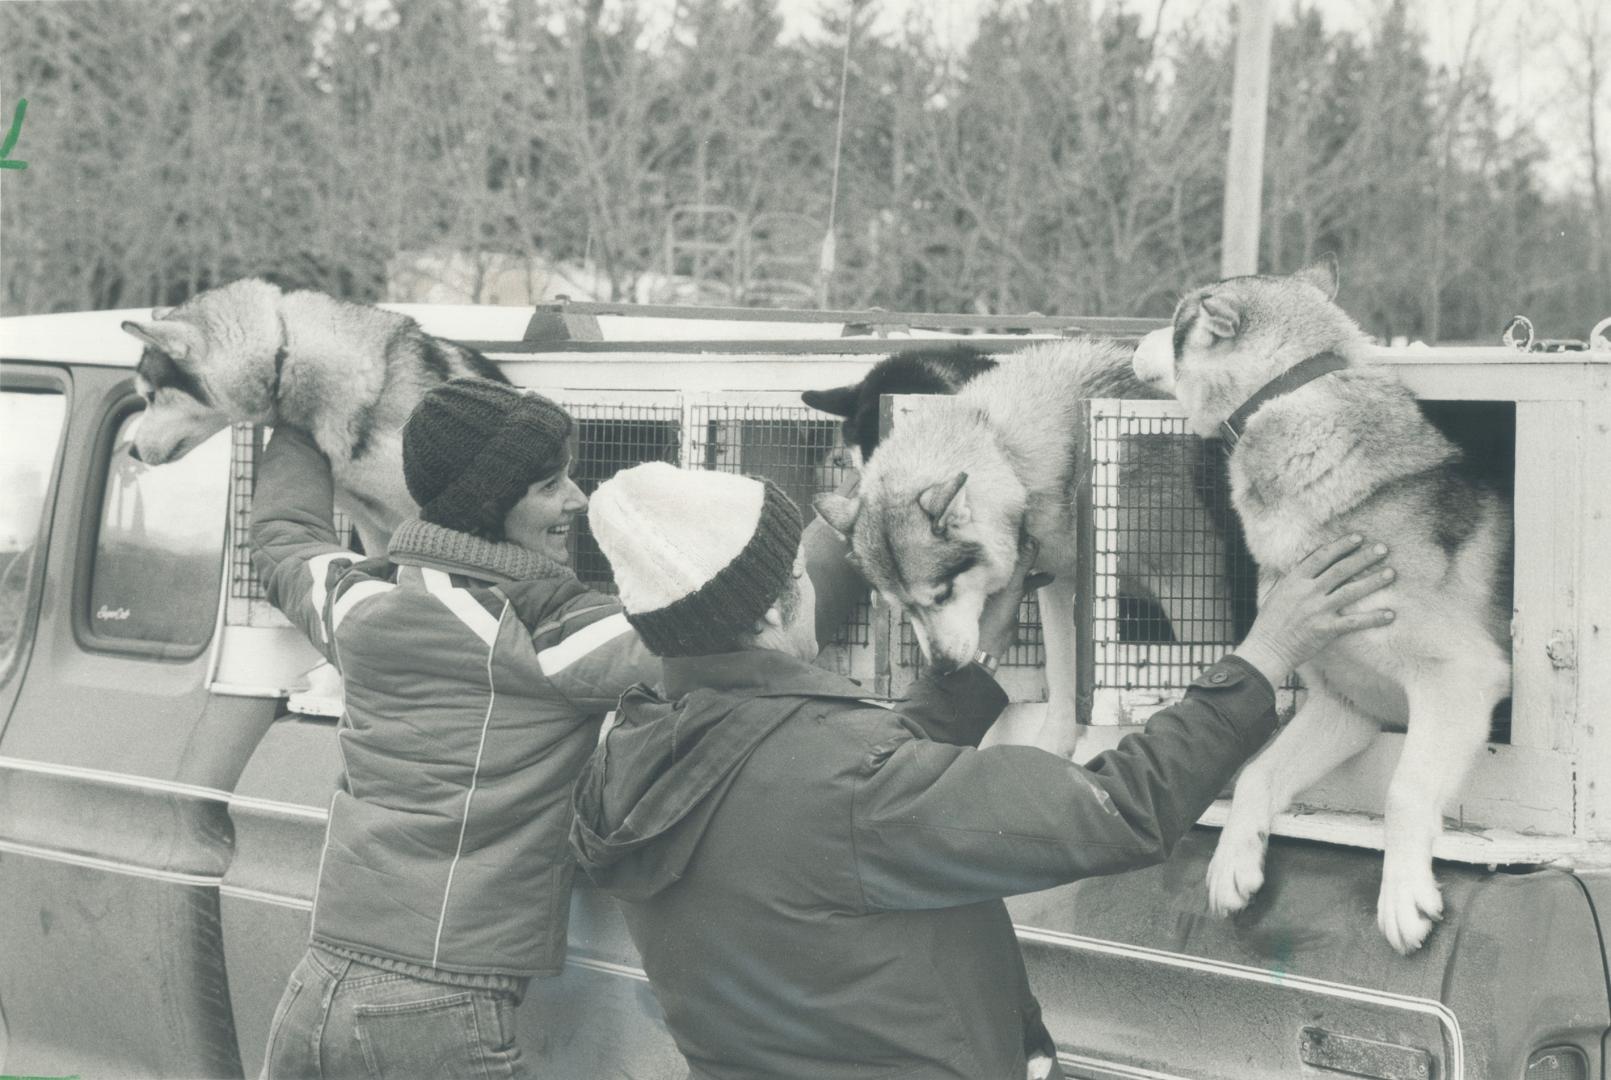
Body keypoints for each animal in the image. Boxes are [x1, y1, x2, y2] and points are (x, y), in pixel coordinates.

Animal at [1127, 259, 1514, 954]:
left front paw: (1402, 897)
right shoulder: (1349, 705)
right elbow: (1259, 773)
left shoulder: (1460, 680)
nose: (1128, 343)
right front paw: (1232, 863)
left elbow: (1405, 791)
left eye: (1175, 324)